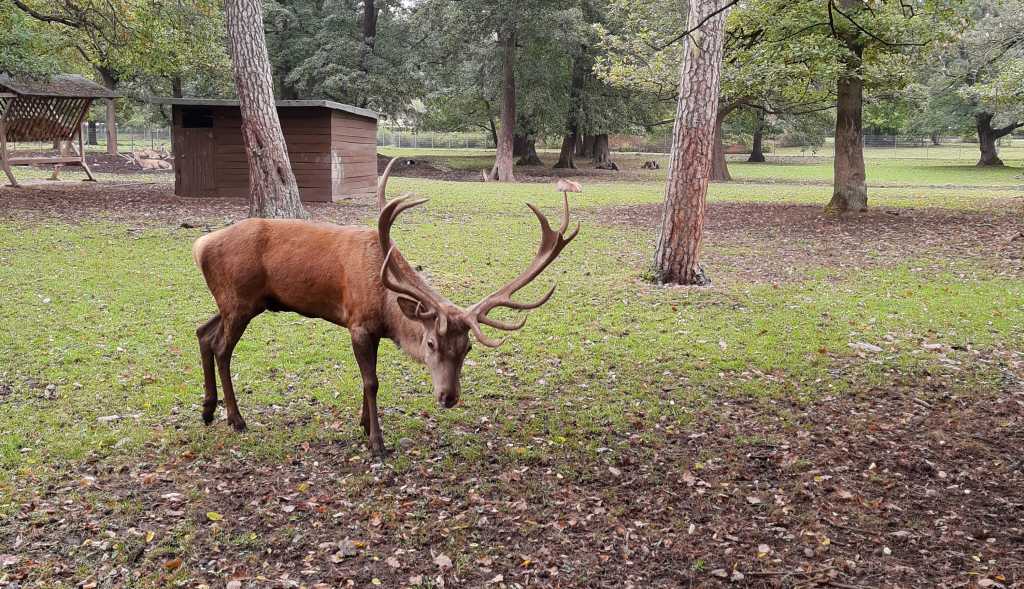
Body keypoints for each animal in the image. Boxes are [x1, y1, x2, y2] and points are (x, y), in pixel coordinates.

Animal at [192, 161, 577, 456]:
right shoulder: (359, 323)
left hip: (235, 302)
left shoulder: (372, 330)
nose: (448, 397)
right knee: (222, 348)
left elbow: (370, 381)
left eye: (467, 348)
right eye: (431, 343)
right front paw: (377, 442)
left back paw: (208, 411)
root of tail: (200, 245)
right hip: (239, 301)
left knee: (203, 332)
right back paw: (236, 419)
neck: (385, 303)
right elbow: (371, 381)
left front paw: (364, 425)